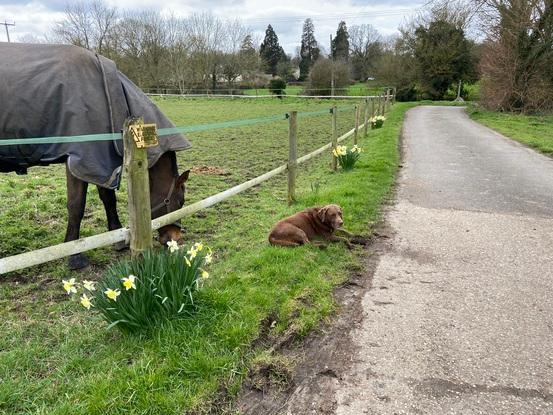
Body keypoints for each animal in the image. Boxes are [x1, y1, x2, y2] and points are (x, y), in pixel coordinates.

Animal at [0, 41, 192, 270]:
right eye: (179, 201)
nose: (176, 238)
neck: (106, 92)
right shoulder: (80, 161)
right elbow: (76, 206)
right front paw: (74, 254)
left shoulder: (103, 164)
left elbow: (108, 199)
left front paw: (119, 239)